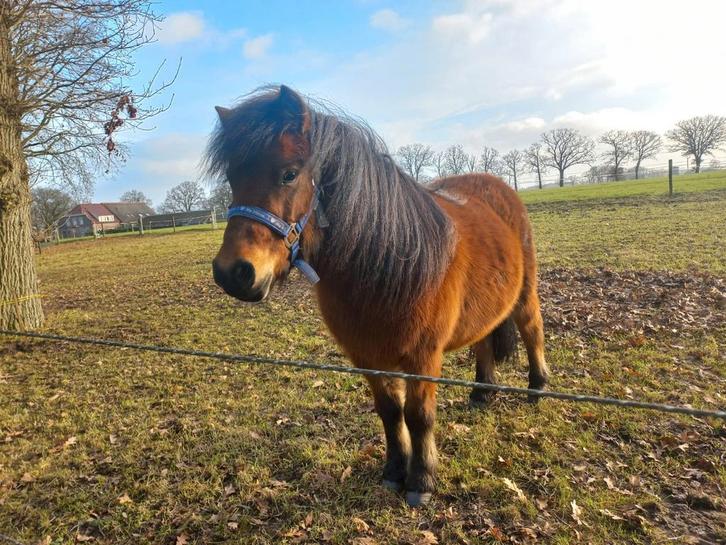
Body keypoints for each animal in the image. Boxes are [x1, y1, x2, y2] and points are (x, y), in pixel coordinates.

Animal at [206, 85, 548, 507]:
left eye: (289, 173)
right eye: (232, 178)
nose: (233, 273)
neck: (385, 262)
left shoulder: (422, 356)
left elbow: (419, 416)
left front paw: (421, 481)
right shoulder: (366, 356)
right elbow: (389, 412)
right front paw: (393, 472)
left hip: (525, 294)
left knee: (533, 330)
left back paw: (537, 387)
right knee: (483, 340)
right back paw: (483, 393)